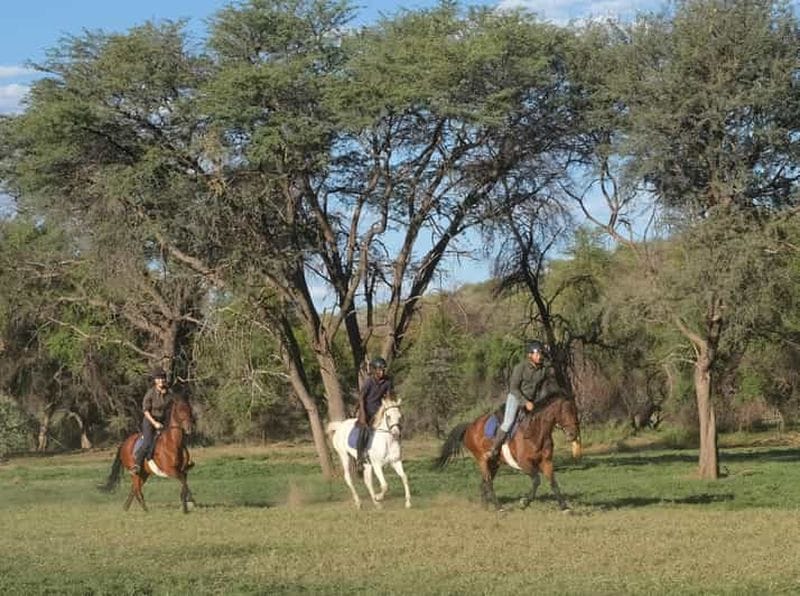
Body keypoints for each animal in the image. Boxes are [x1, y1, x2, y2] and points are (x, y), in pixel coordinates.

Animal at [436, 394, 582, 511]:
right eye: (565, 411)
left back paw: (485, 506)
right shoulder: (524, 464)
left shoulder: (546, 462)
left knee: (484, 482)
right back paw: (498, 507)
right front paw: (524, 502)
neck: (536, 432)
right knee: (489, 482)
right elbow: (536, 481)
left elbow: (553, 483)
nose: (573, 435)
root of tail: (470, 426)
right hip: (482, 460)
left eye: (575, 411)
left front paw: (564, 506)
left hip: (494, 463)